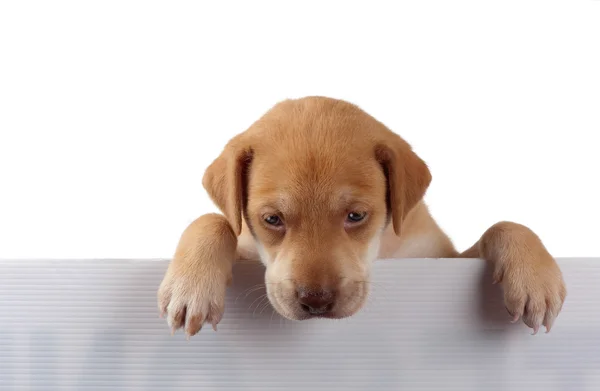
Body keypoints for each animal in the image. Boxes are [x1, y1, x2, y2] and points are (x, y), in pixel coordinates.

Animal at [157, 96, 564, 338]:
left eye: (356, 215)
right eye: (272, 220)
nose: (316, 302)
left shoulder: (442, 257)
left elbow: (502, 225)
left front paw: (535, 278)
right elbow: (212, 221)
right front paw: (191, 286)